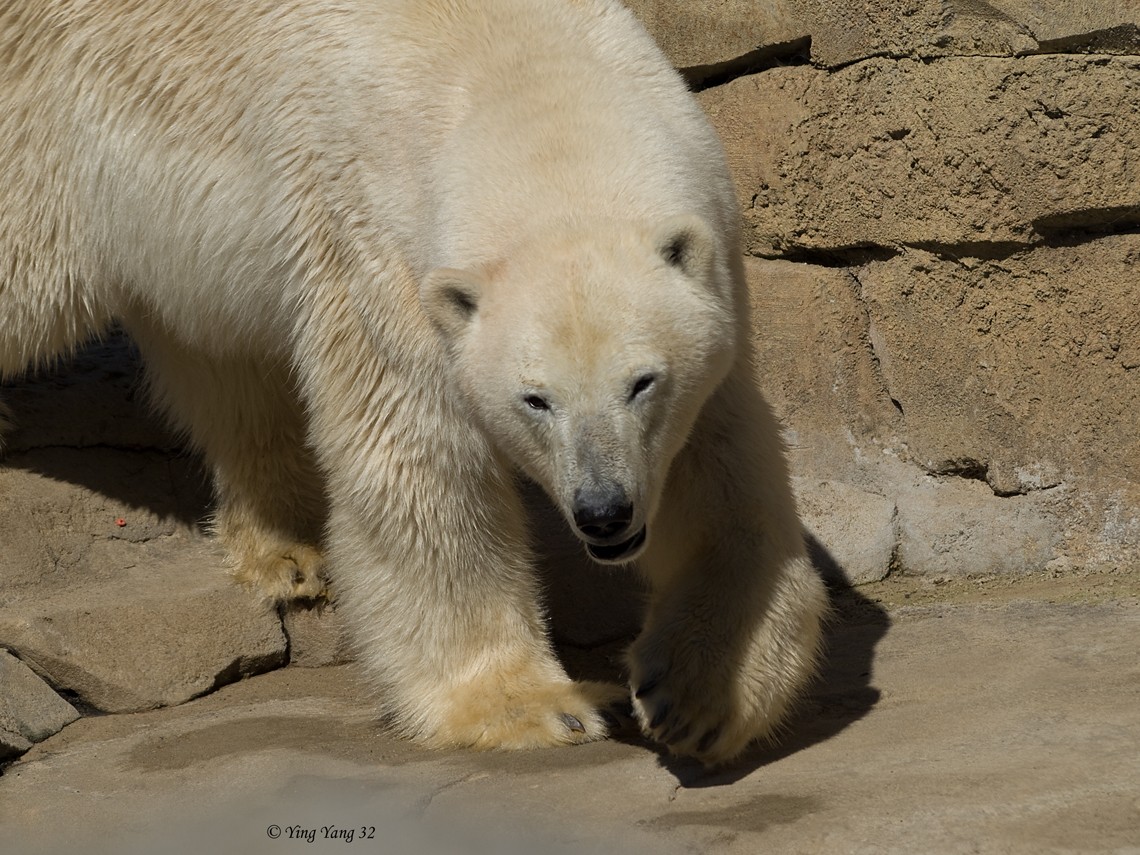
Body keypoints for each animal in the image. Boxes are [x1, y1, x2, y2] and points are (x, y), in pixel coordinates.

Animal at [0, 0, 820, 761]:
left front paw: (693, 691)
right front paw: (535, 705)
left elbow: (720, 461)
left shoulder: (712, 276)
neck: (517, 72)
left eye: (643, 382)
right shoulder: (376, 240)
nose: (603, 512)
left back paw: (290, 552)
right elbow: (421, 454)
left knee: (221, 365)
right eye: (535, 399)